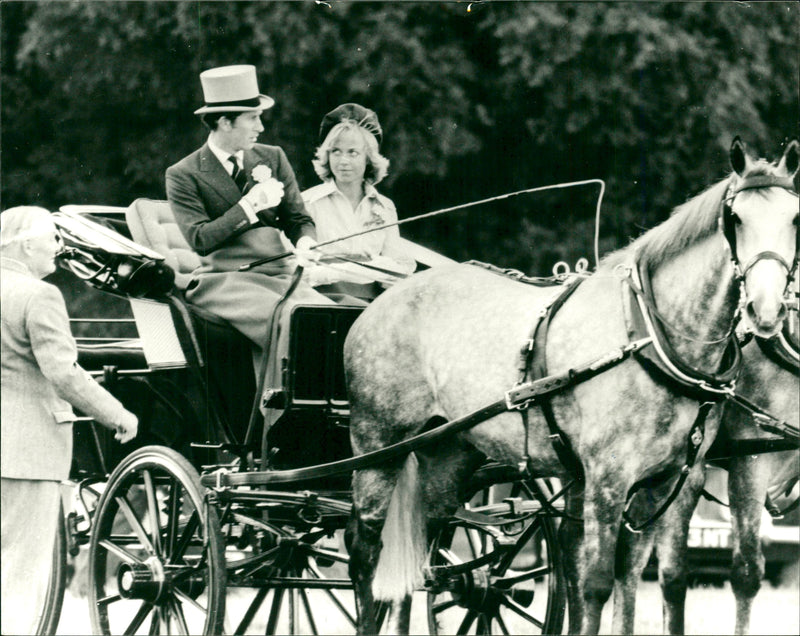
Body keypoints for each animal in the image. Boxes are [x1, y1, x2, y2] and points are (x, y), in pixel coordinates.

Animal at [342, 139, 792, 636]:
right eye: (737, 219)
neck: (650, 337)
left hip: (447, 453)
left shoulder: (672, 478)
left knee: (417, 547)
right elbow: (596, 583)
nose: (766, 310)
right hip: (379, 444)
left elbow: (655, 576)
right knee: (364, 549)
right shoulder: (608, 477)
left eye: (794, 218)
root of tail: (382, 299)